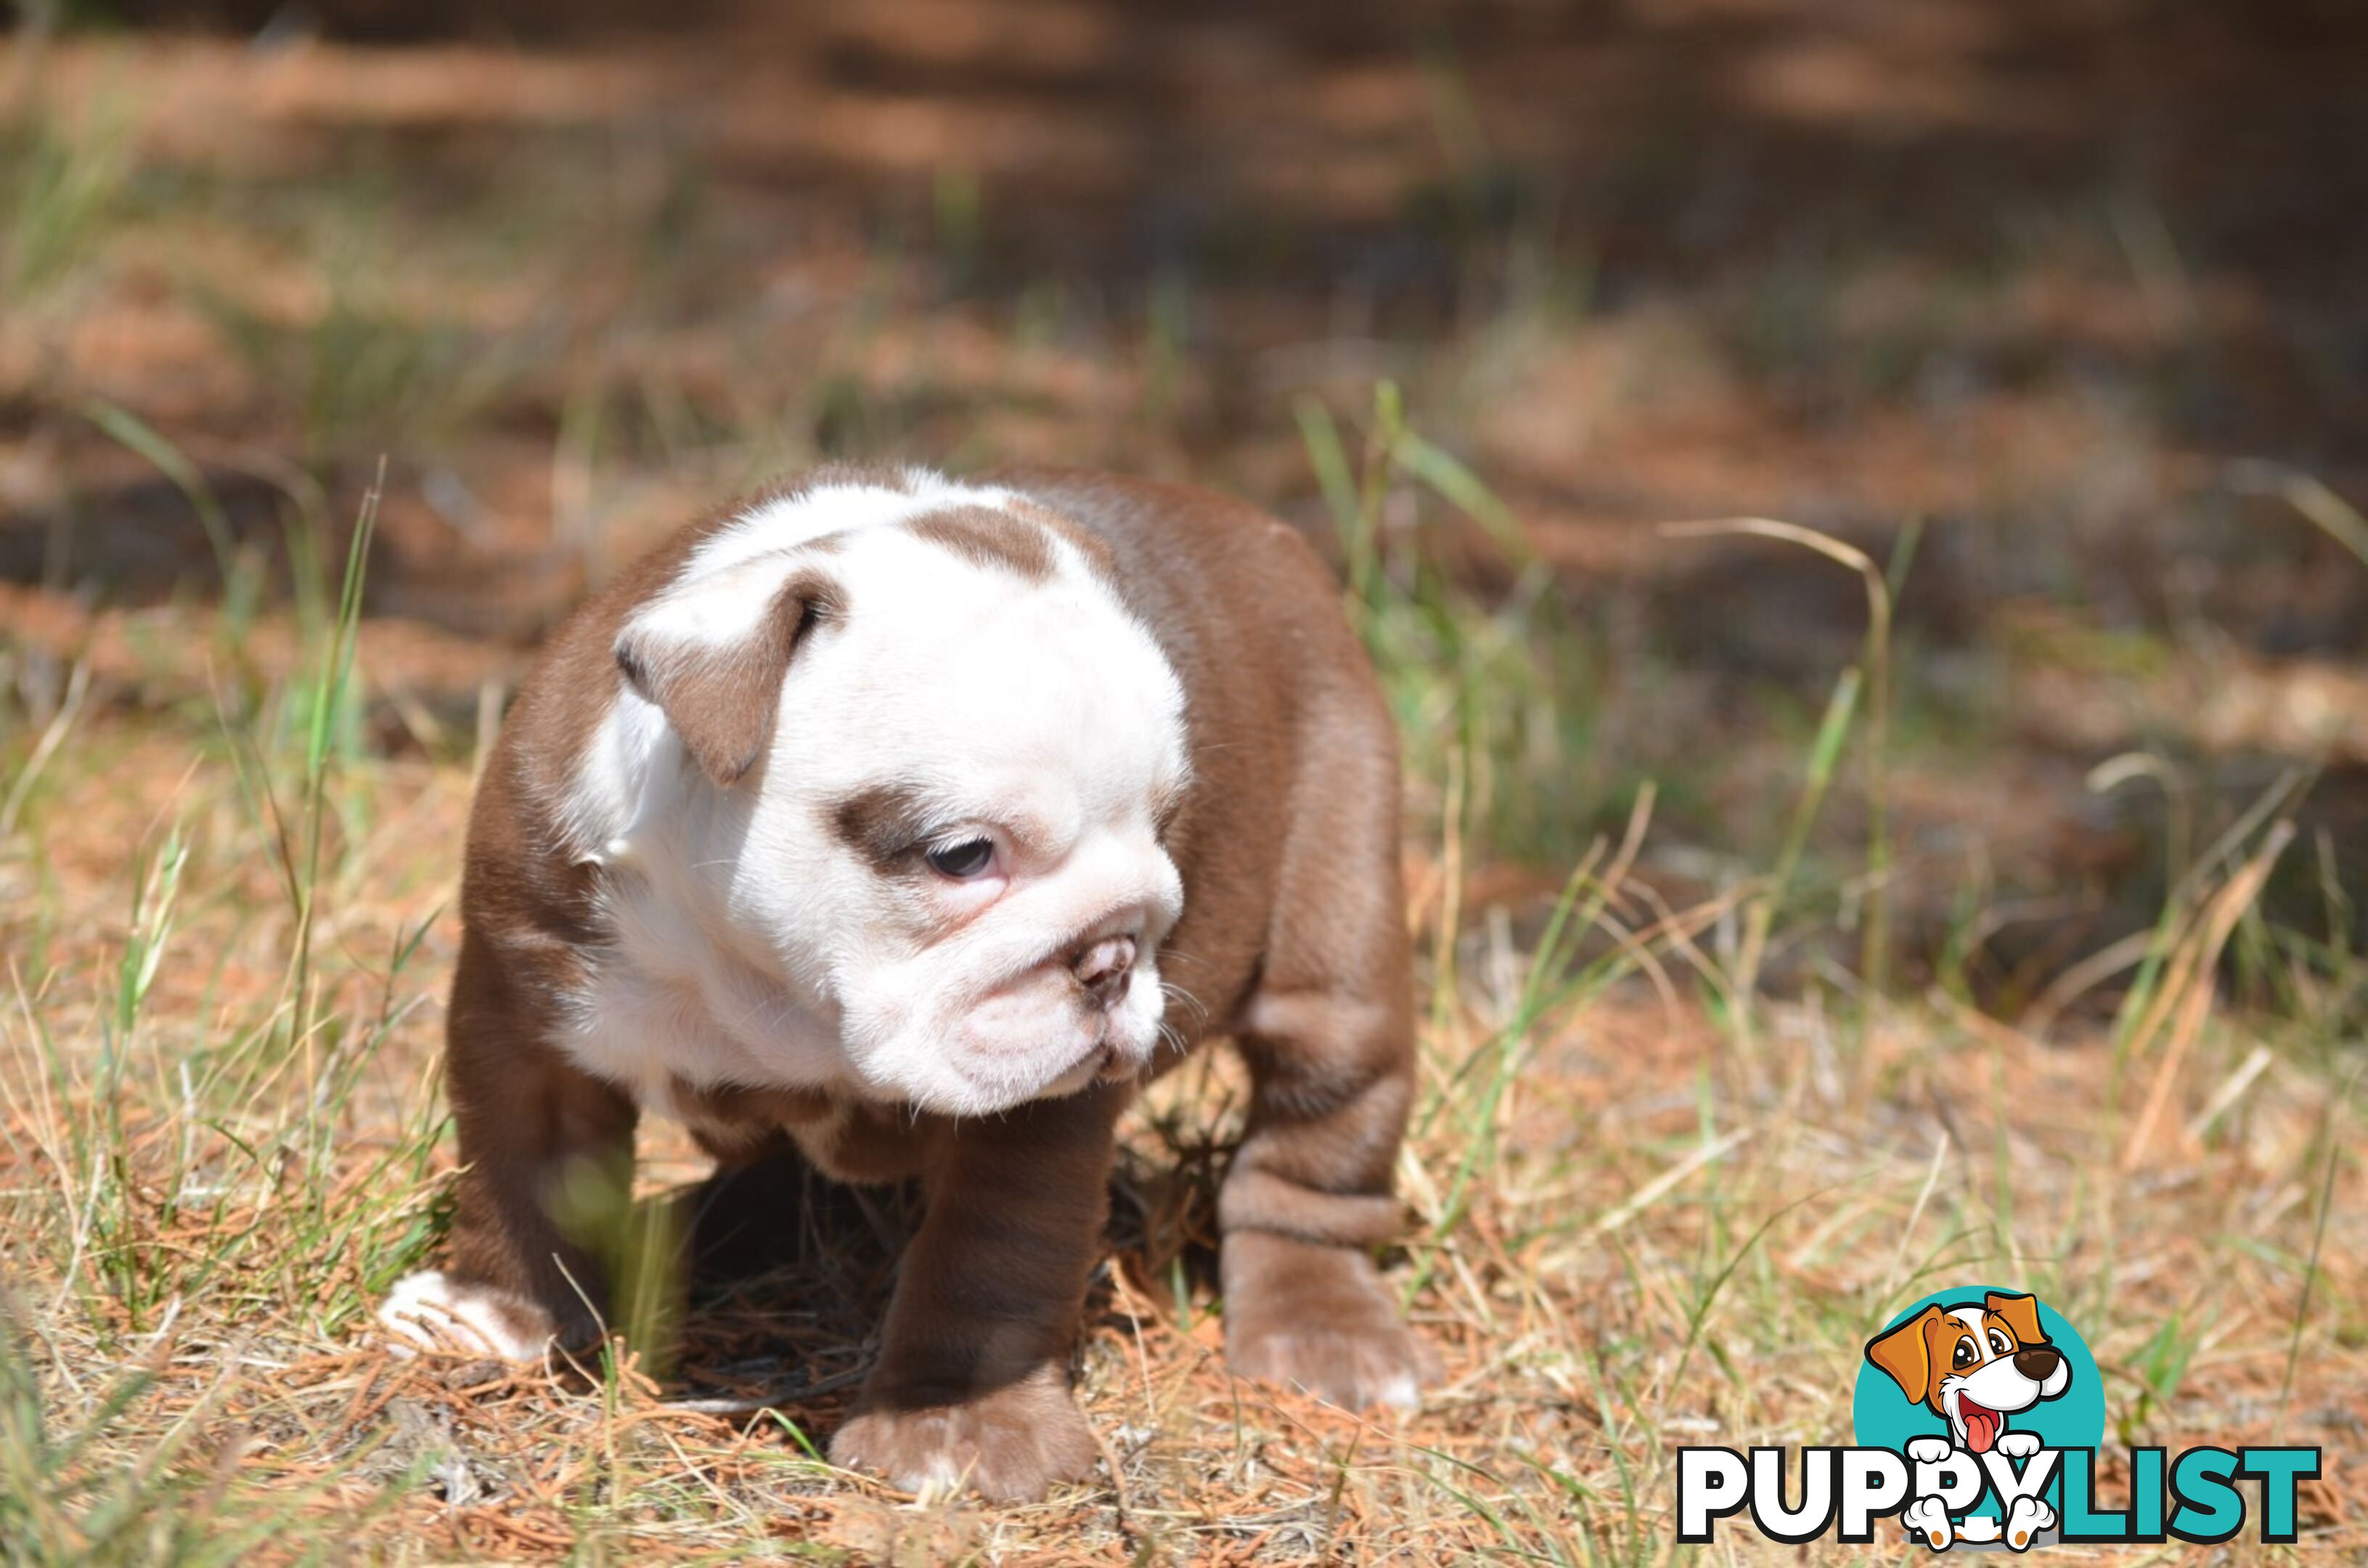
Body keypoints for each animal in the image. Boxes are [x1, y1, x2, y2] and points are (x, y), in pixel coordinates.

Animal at [378, 464, 1430, 1497]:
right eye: (962, 855)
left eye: (1169, 827)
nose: (1111, 958)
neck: (765, 988)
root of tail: (1265, 531)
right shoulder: (528, 1005)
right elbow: (525, 1170)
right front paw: (495, 1316)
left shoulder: (1035, 1107)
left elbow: (992, 1251)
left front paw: (955, 1424)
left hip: (1338, 905)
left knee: (1317, 1131)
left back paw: (1324, 1327)